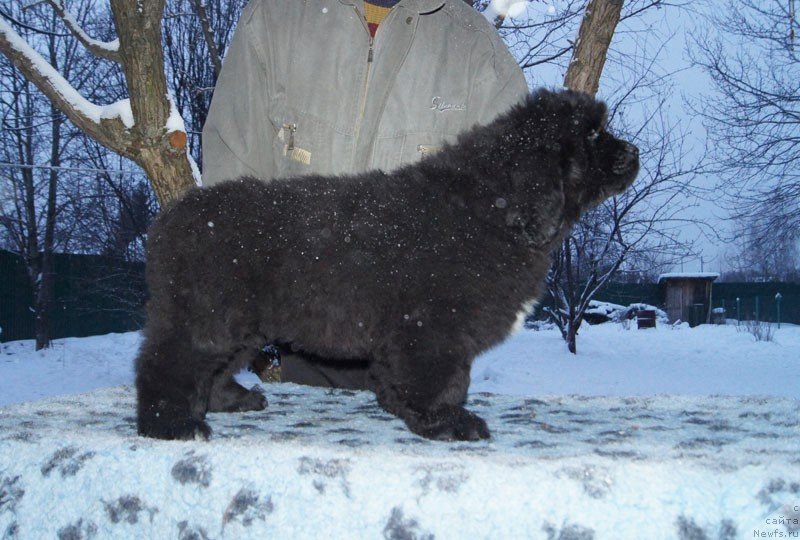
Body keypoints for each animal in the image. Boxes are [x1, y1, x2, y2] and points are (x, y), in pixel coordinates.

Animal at [136, 88, 636, 440]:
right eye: (592, 135)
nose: (633, 153)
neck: (494, 209)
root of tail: (169, 221)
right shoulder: (433, 326)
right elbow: (442, 378)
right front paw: (446, 421)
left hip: (243, 323)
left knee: (216, 367)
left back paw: (230, 399)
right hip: (208, 314)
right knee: (168, 362)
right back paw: (171, 425)